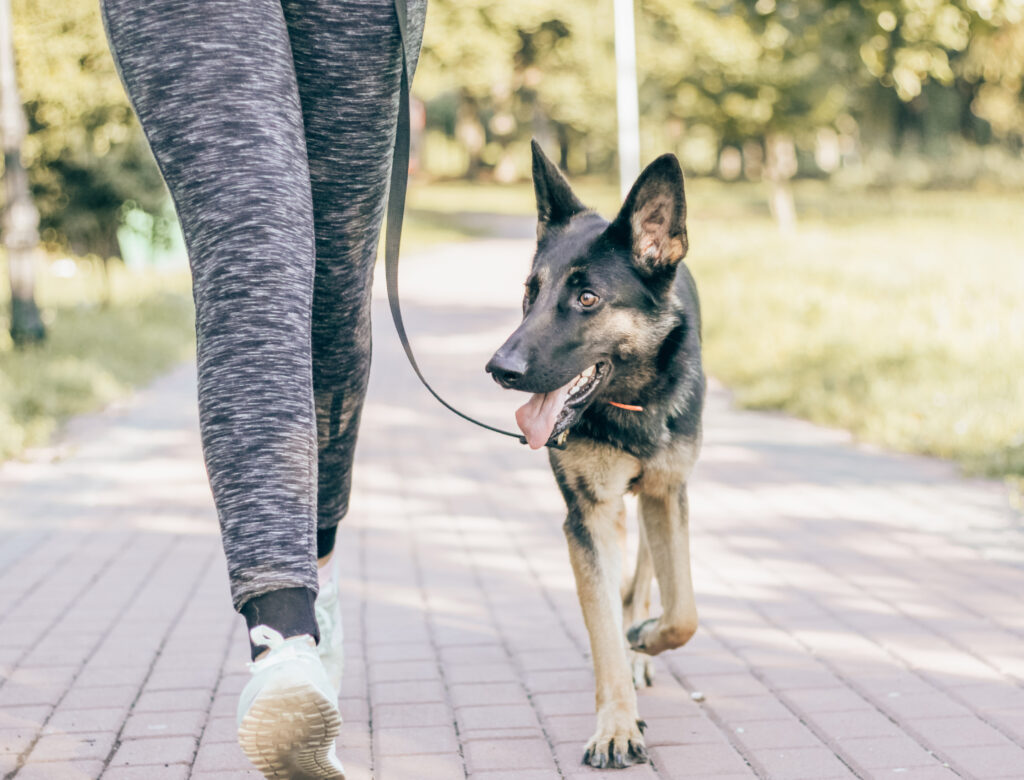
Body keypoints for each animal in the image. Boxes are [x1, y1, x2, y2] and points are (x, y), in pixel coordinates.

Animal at [487, 140, 704, 765]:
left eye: (587, 298)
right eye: (530, 292)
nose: (499, 370)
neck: (629, 402)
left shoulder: (667, 494)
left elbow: (682, 612)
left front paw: (645, 640)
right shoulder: (588, 518)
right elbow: (603, 627)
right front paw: (616, 725)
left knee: (646, 583)